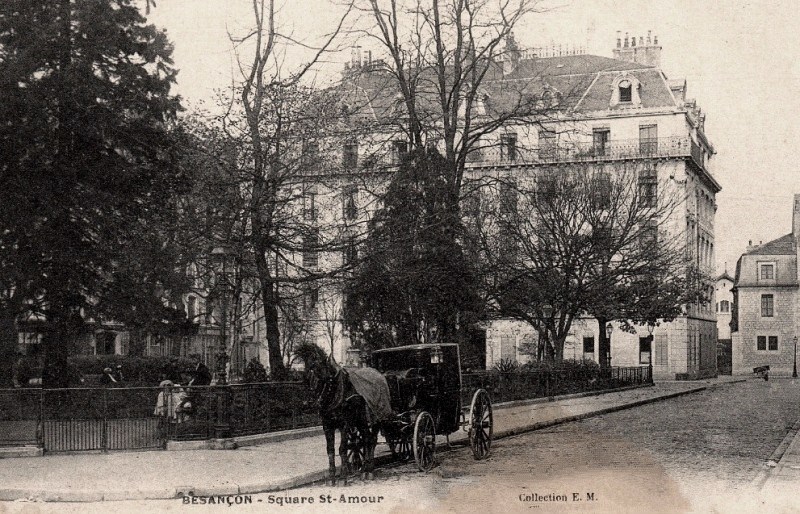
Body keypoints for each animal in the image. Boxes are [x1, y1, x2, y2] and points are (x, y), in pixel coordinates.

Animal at [294, 342, 382, 482]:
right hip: (360, 422)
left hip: (375, 420)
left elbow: (342, 449)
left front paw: (343, 477)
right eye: (305, 377)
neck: (334, 393)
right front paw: (332, 477)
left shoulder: (344, 425)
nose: (306, 403)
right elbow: (330, 450)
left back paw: (369, 470)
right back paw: (365, 470)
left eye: (320, 378)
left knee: (372, 440)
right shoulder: (327, 425)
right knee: (366, 439)